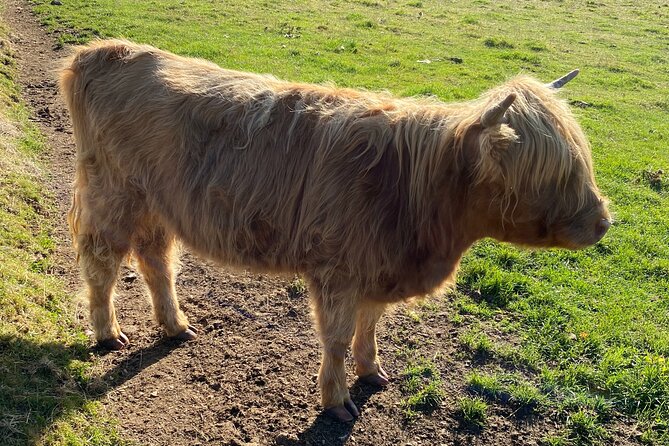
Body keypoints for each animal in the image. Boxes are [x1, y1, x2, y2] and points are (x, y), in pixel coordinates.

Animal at [60, 40, 608, 420]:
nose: (603, 222)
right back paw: (108, 333)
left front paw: (373, 371)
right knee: (103, 262)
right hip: (113, 195)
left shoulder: (377, 268)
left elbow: (371, 324)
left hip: (157, 206)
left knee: (156, 261)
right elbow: (339, 337)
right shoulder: (339, 271)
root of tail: (104, 51)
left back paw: (175, 325)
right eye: (546, 171)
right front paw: (338, 399)